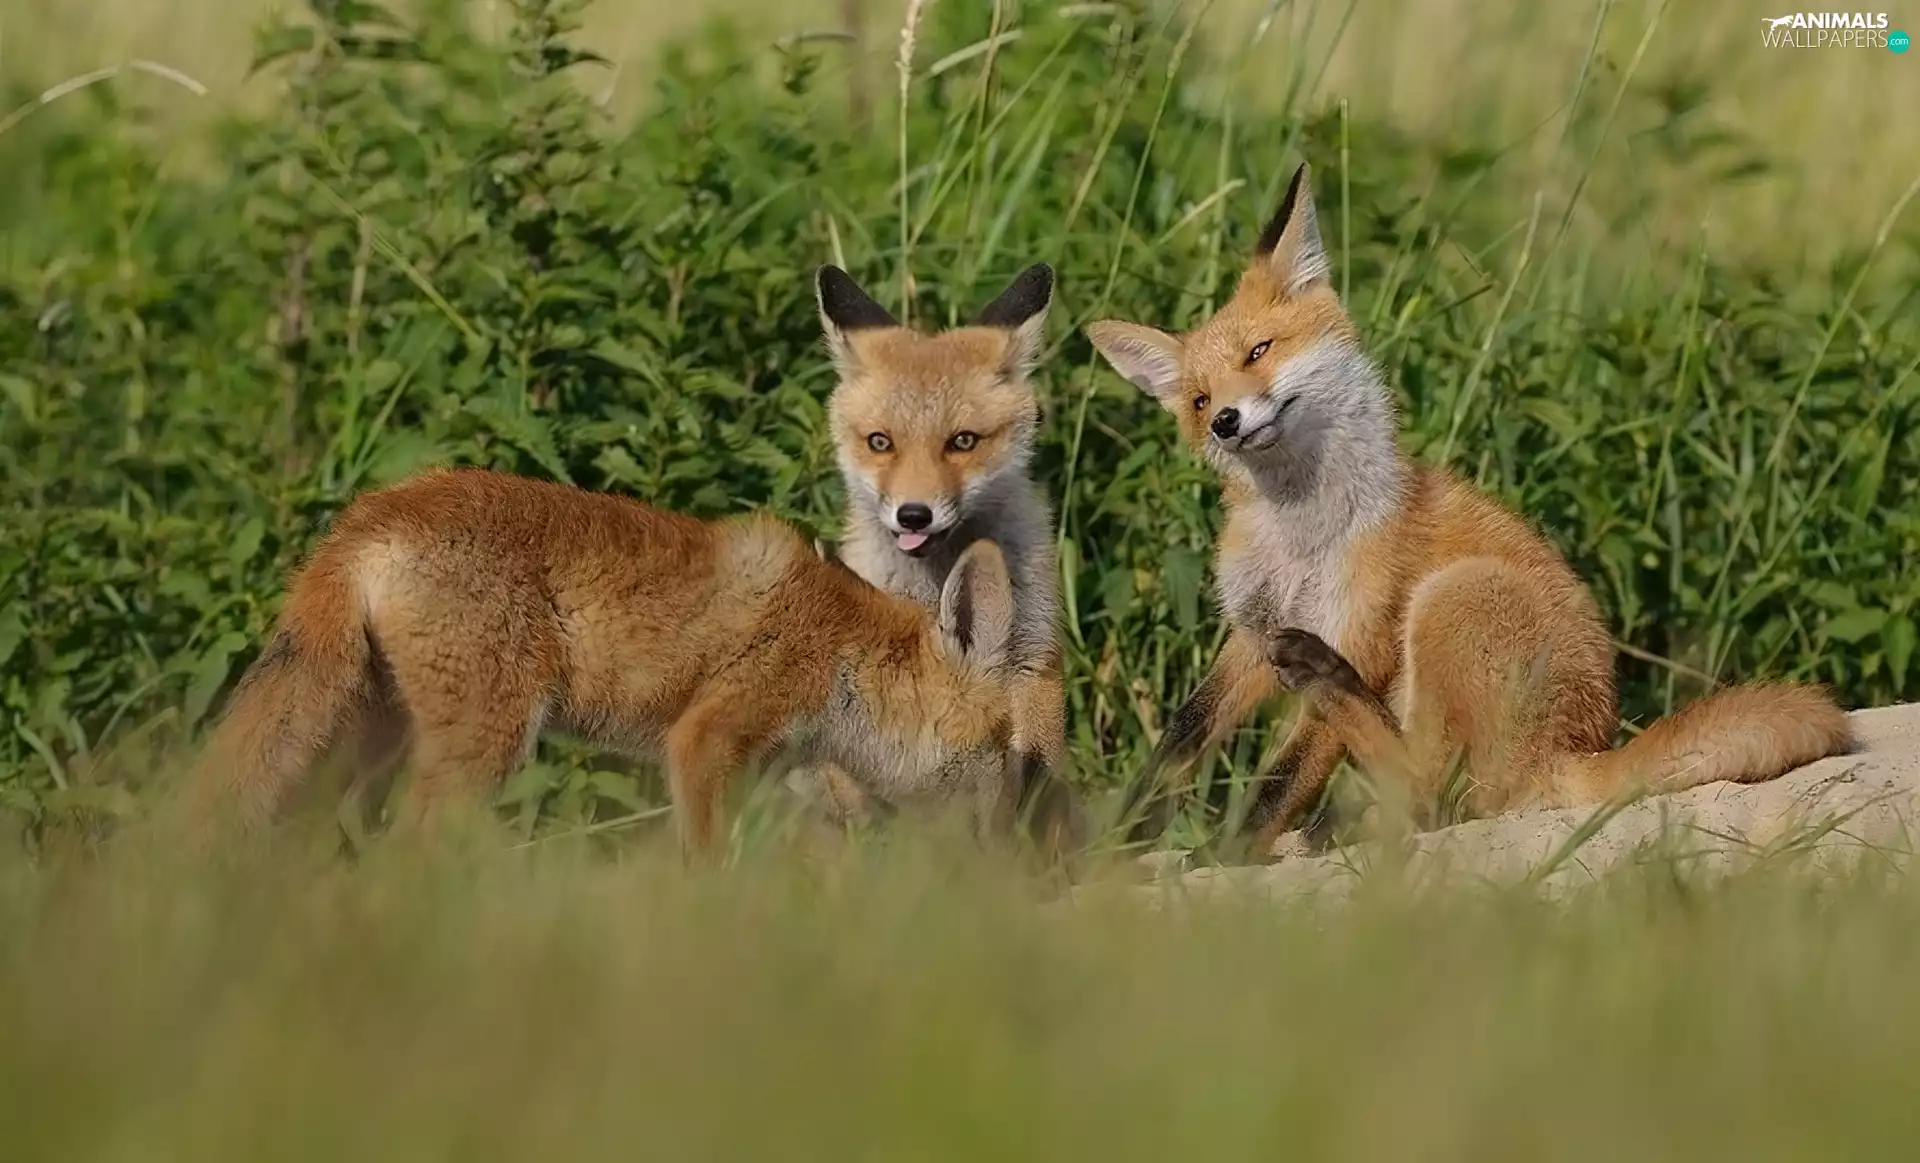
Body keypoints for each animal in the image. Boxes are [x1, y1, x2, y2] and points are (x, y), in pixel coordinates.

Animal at [182, 468, 1025, 860]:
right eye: (1003, 750)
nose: (1008, 839)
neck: (839, 646)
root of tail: (371, 511)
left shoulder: (767, 767)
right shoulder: (705, 739)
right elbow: (710, 861)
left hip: (370, 738)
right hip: (486, 743)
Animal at [790, 262, 1085, 858]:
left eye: (962, 442)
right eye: (880, 442)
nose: (914, 515)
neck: (935, 579)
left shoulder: (1033, 655)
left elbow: (1029, 770)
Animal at [1086, 163, 1854, 858]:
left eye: (1259, 351)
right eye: (1198, 401)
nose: (1226, 423)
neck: (1299, 535)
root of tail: (1579, 749)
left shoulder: (1361, 627)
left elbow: (1278, 783)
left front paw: (1218, 858)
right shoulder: (1252, 631)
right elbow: (1182, 735)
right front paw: (1112, 838)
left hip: (1450, 599)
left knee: (1435, 796)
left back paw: (1328, 687)